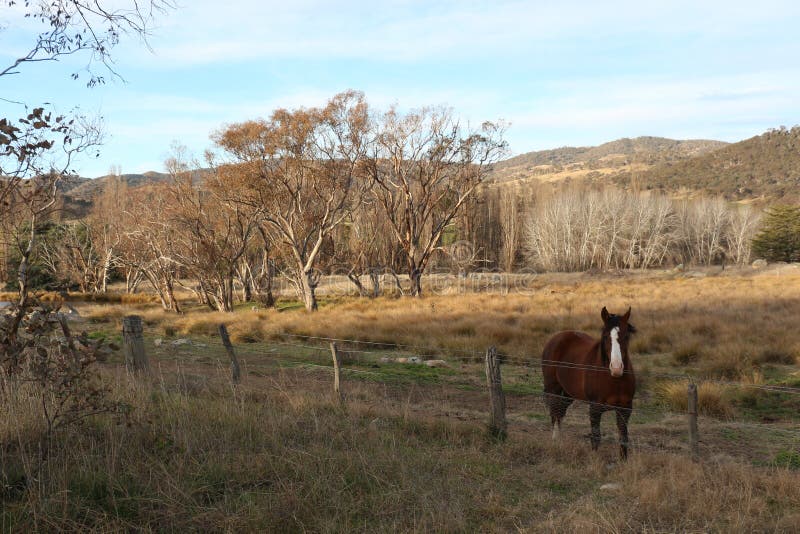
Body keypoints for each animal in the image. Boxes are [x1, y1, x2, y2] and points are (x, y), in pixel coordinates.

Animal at [544, 308, 636, 462]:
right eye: (605, 336)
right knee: (555, 413)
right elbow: (596, 436)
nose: (616, 368)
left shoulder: (625, 409)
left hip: (568, 394)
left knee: (560, 412)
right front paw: (594, 460)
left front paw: (624, 463)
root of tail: (557, 337)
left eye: (626, 336)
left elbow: (623, 437)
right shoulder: (595, 409)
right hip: (553, 389)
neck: (614, 380)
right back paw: (555, 442)